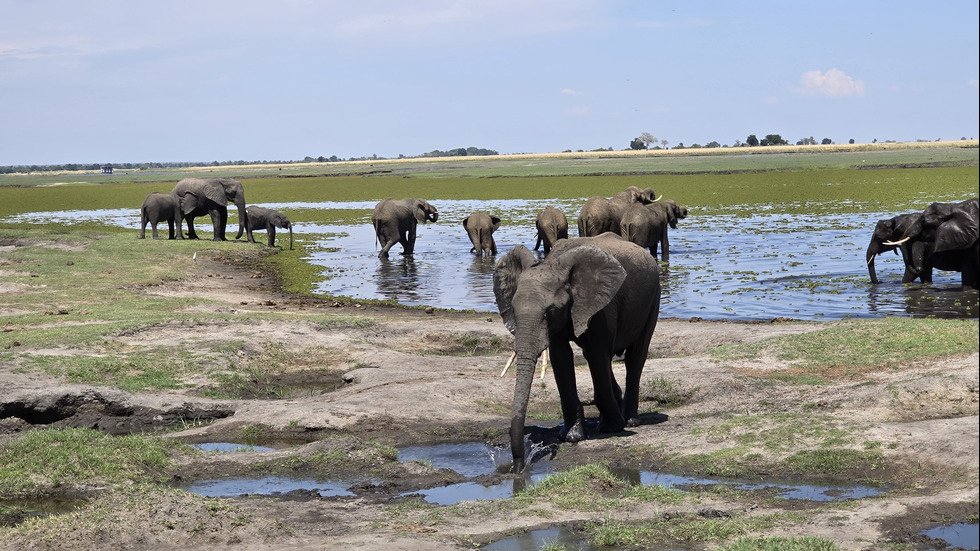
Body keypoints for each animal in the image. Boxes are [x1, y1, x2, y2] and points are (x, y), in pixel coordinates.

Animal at [494, 234, 664, 474]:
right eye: (515, 310)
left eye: (551, 311)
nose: (518, 467)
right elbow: (561, 357)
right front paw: (571, 436)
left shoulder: (600, 306)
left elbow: (595, 352)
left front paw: (612, 427)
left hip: (653, 298)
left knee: (635, 357)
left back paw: (629, 420)